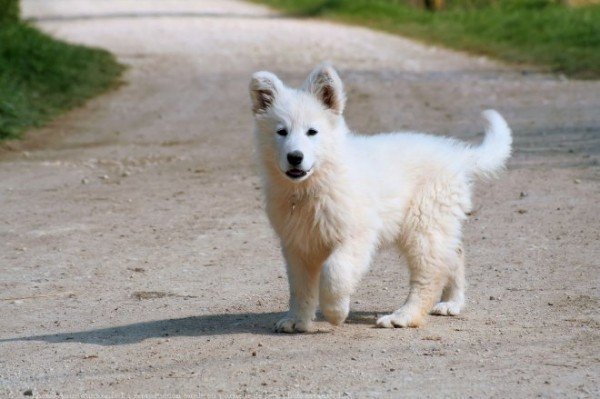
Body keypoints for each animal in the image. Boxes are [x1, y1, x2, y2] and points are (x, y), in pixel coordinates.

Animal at [248, 64, 510, 332]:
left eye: (312, 132)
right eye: (281, 132)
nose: (295, 157)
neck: (312, 186)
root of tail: (457, 156)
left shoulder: (357, 236)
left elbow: (335, 272)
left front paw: (335, 312)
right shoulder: (297, 245)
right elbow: (299, 288)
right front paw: (297, 319)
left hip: (423, 224)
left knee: (430, 275)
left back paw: (403, 316)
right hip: (436, 224)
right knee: (454, 254)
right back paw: (451, 303)